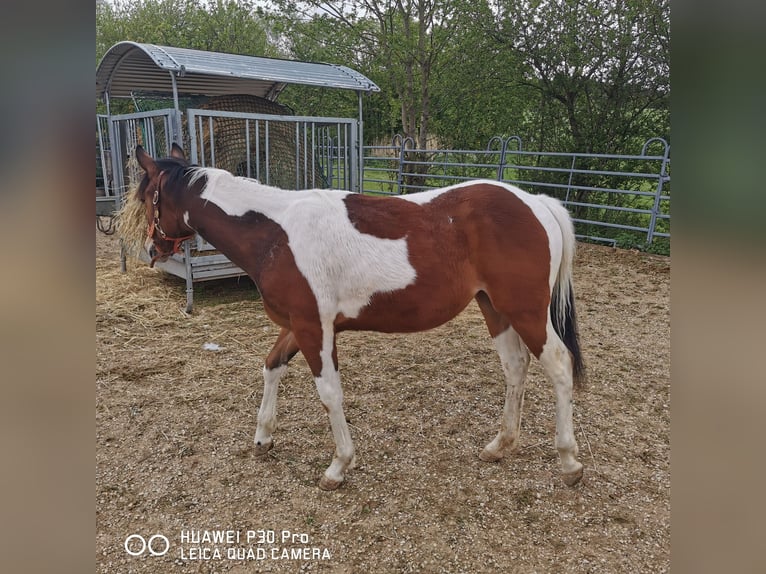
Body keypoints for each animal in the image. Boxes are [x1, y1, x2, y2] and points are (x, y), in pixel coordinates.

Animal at [130, 143, 586, 490]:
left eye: (148, 197)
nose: (152, 249)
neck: (275, 234)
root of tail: (536, 203)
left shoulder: (314, 329)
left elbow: (329, 394)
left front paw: (338, 465)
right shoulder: (299, 325)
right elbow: (271, 365)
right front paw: (263, 438)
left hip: (525, 310)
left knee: (559, 366)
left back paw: (568, 462)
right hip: (495, 308)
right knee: (516, 368)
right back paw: (500, 444)